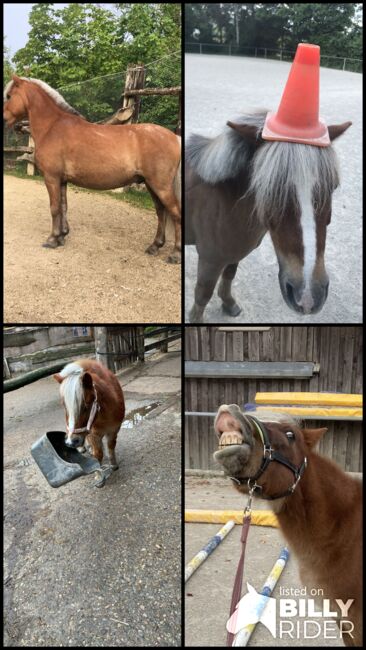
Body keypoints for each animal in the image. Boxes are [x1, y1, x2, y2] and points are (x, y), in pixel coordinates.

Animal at [4, 78, 182, 264]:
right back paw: (154, 246)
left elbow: (54, 208)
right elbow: (63, 207)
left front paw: (52, 239)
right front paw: (62, 236)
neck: (52, 127)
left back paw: (175, 254)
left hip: (161, 186)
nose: (3, 120)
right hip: (150, 184)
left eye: (9, 96)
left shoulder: (51, 178)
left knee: (175, 213)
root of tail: (174, 137)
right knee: (161, 212)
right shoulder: (62, 180)